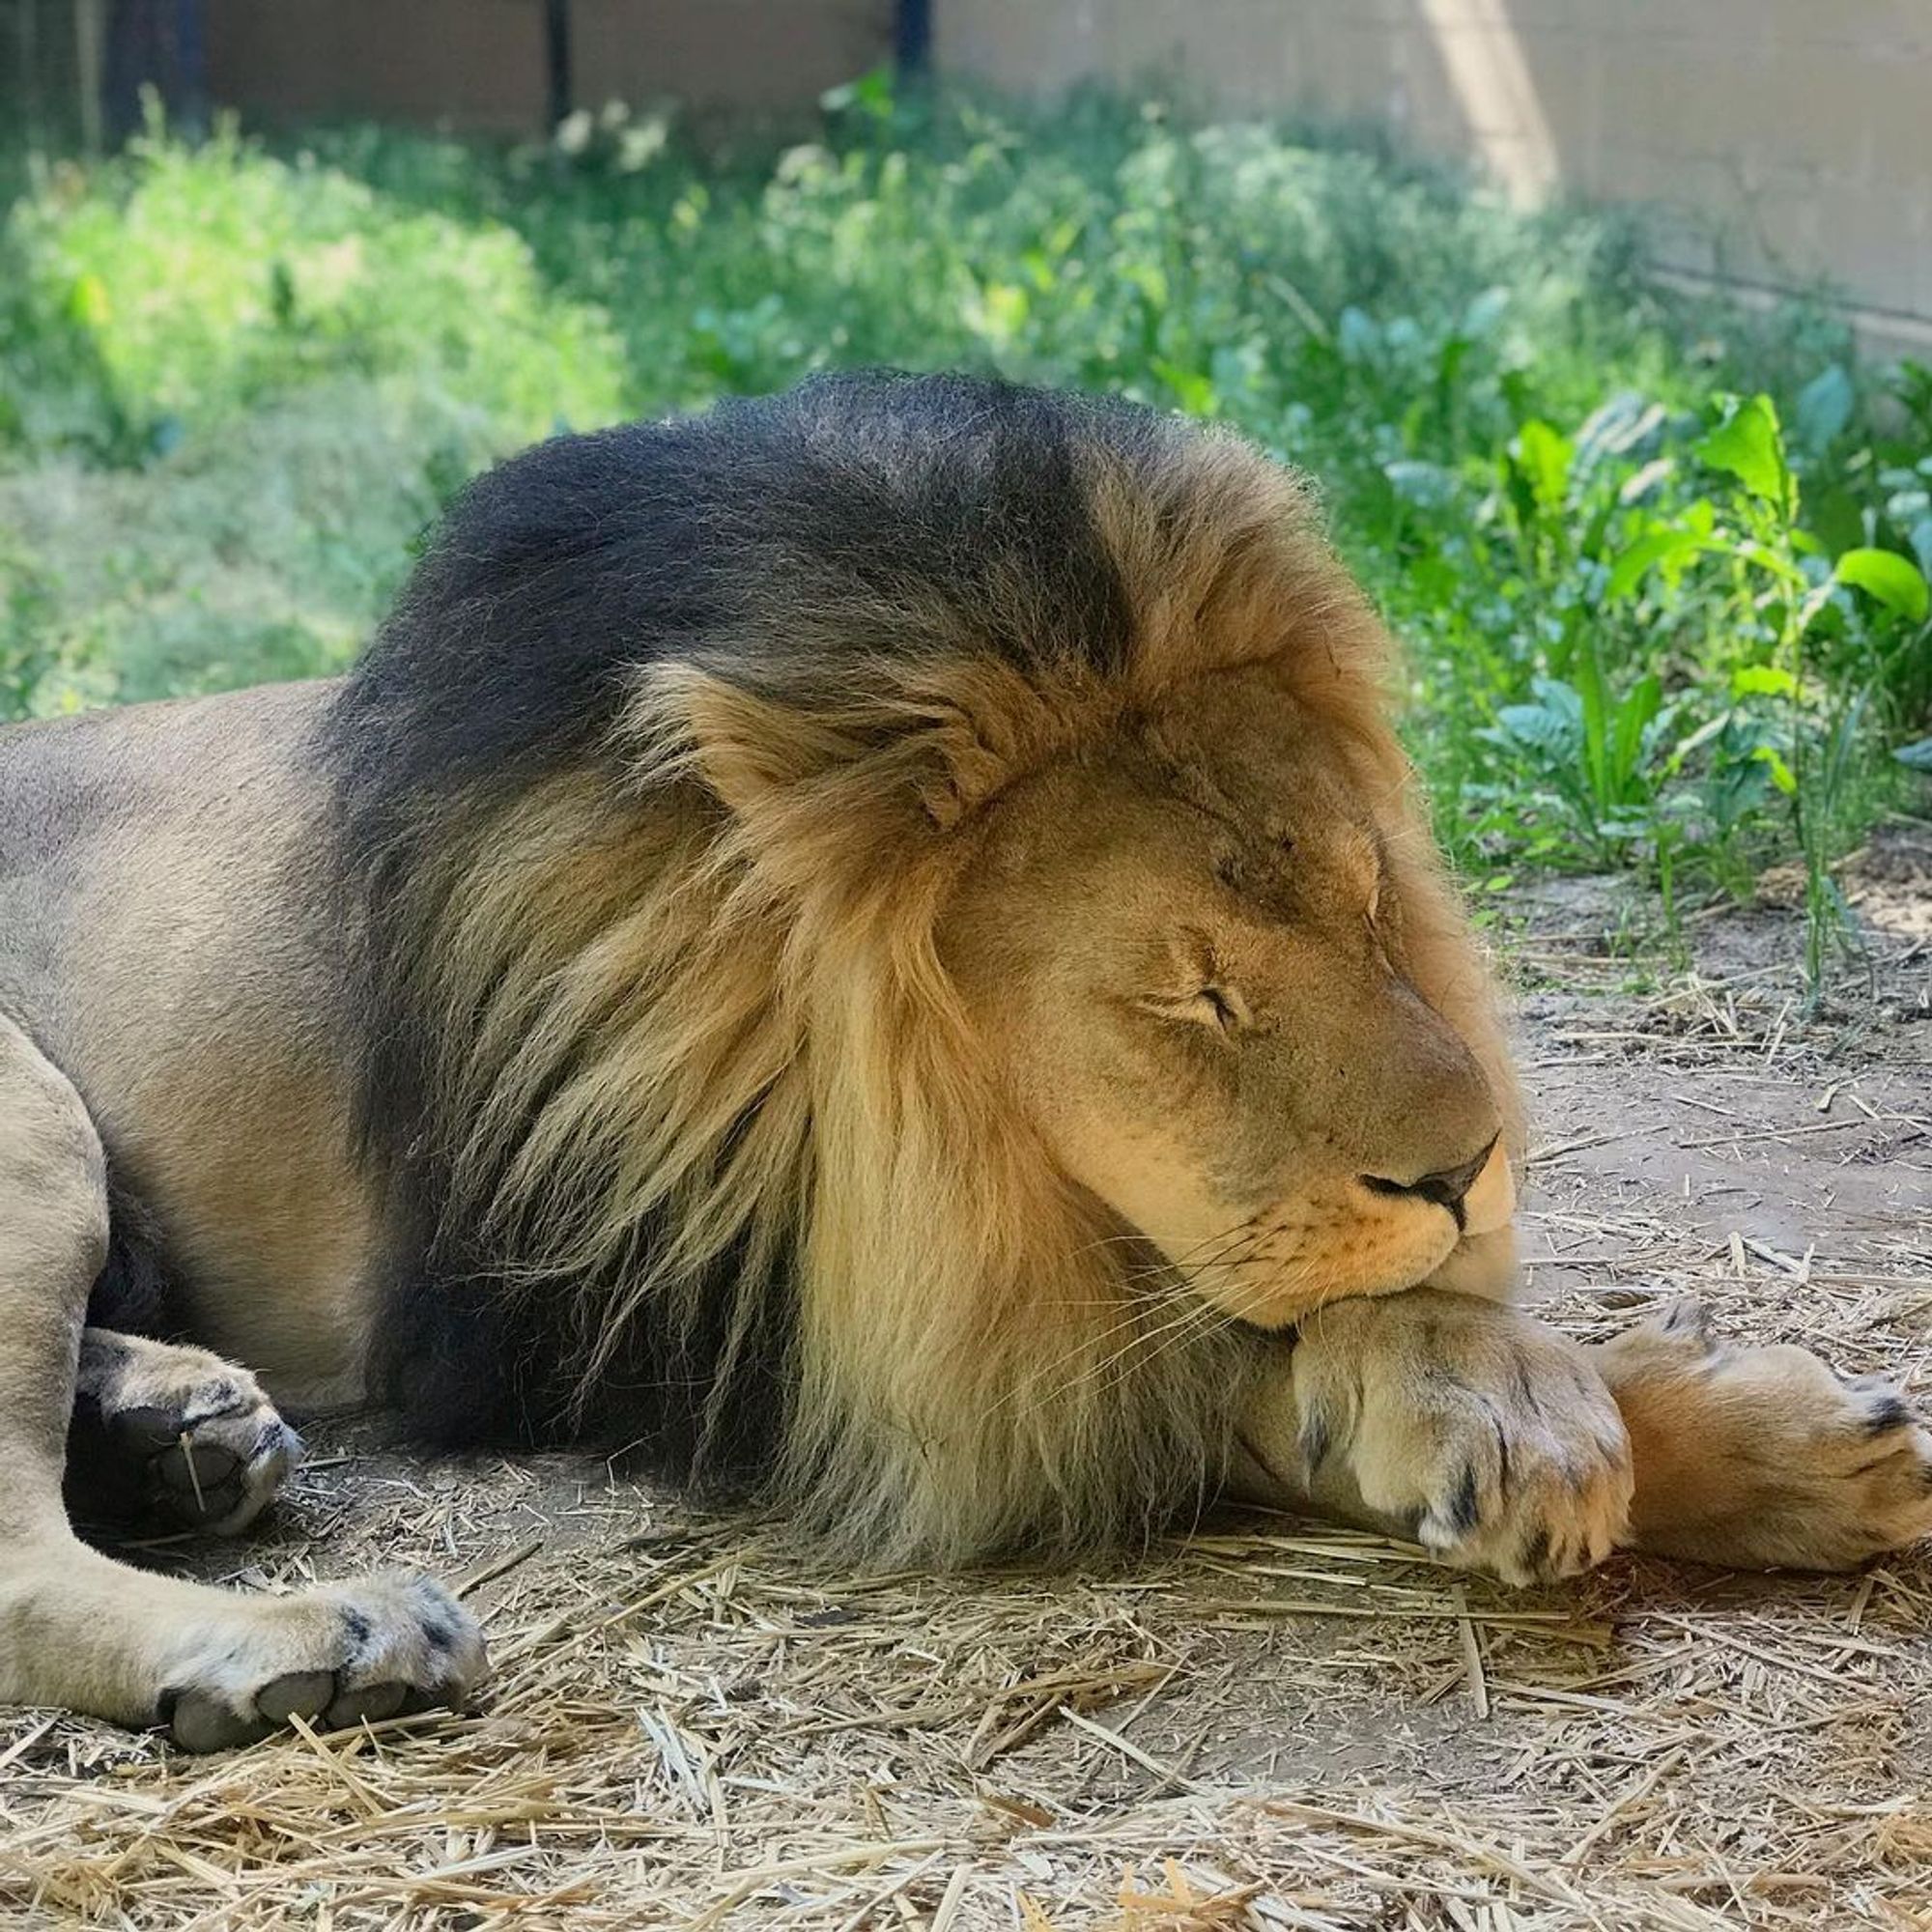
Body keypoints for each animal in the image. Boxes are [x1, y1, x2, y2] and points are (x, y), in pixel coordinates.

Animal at [3, 373, 1932, 1754]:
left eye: (1375, 897)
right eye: (1190, 999)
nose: (1469, 1173)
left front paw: (1772, 1441)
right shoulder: (667, 1324)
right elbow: (1185, 1373)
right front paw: (1498, 1404)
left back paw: (181, 1429)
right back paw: (318, 1638)